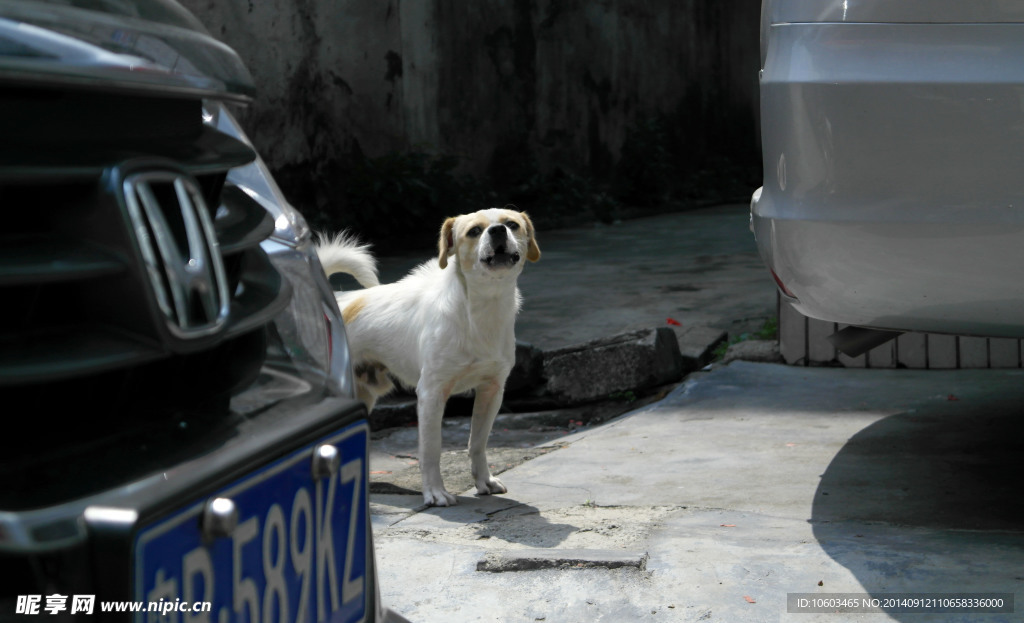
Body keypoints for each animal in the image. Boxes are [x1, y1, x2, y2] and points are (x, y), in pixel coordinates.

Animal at [315, 209, 540, 506]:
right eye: (474, 231)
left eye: (512, 224)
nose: (498, 231)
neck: (480, 312)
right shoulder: (431, 393)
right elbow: (431, 449)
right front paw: (435, 492)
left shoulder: (491, 390)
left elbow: (477, 443)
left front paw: (484, 481)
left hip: (363, 394)